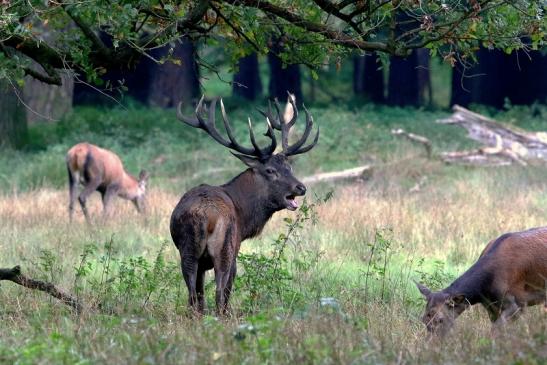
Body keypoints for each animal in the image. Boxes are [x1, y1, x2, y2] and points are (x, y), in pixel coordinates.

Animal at [170, 96, 316, 312]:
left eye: (289, 167)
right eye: (270, 170)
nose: (301, 187)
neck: (244, 216)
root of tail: (205, 216)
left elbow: (200, 293)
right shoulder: (236, 246)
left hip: (188, 251)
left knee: (193, 295)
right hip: (225, 249)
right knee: (220, 292)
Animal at [418, 226, 547, 336]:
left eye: (441, 319)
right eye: (423, 319)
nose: (432, 343)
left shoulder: (518, 303)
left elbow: (496, 330)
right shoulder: (491, 308)